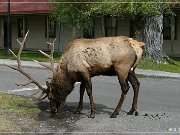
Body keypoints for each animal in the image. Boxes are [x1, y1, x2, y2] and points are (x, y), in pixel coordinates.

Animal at [7, 30, 144, 118]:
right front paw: (78, 110)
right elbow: (81, 91)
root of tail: (139, 46)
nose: (53, 110)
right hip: (131, 69)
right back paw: (132, 110)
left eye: (51, 97)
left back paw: (115, 113)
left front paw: (92, 113)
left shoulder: (84, 71)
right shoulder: (81, 76)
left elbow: (88, 91)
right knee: (136, 84)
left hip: (122, 67)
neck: (68, 71)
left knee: (125, 88)